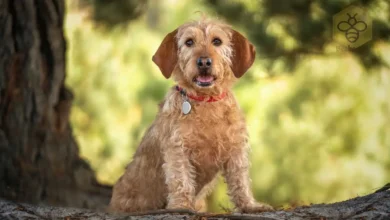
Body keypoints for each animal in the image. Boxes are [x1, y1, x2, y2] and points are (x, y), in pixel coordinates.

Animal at [109, 18, 274, 214]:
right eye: (189, 42)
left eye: (217, 41)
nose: (204, 62)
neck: (206, 102)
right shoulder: (177, 149)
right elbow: (181, 180)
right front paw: (181, 206)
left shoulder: (236, 149)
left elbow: (240, 180)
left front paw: (250, 205)